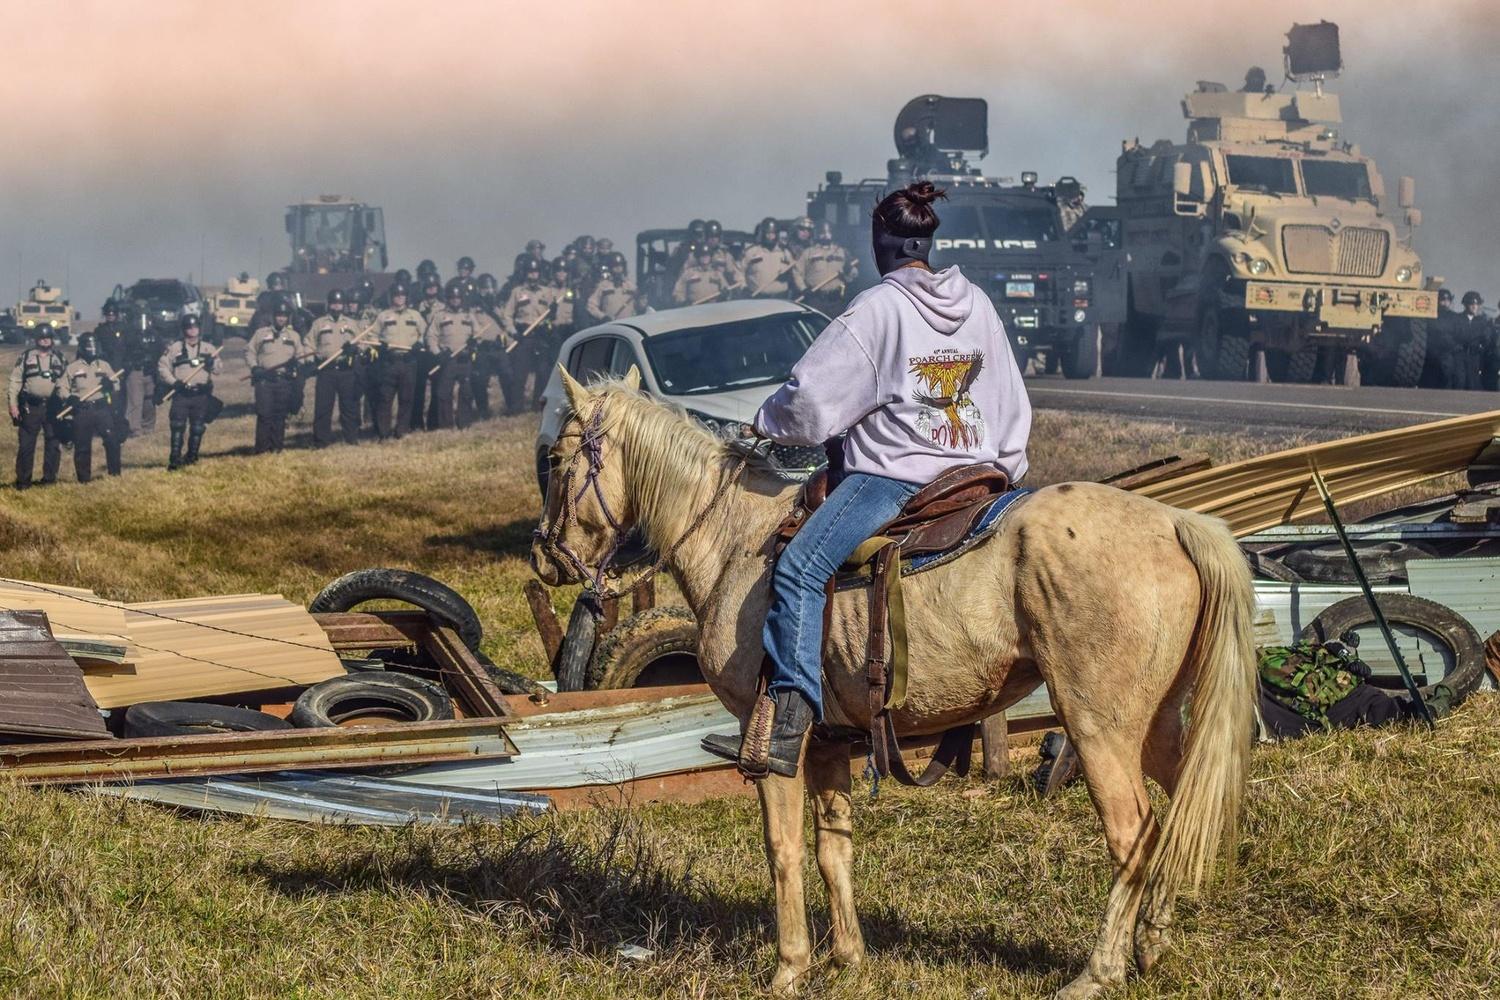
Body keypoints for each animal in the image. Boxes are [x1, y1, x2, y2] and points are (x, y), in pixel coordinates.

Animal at [528, 370, 1254, 1000]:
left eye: (560, 460)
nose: (545, 555)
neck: (737, 539)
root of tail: (1176, 523)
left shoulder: (769, 737)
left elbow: (783, 850)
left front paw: (789, 968)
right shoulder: (825, 742)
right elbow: (834, 849)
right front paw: (848, 960)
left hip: (1099, 728)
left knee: (1134, 834)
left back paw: (1098, 972)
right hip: (1155, 725)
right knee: (1182, 813)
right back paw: (1151, 946)